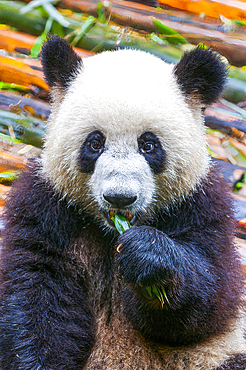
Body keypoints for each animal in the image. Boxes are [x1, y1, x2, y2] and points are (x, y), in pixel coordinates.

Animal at [0, 35, 246, 370]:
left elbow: (212, 298)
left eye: (148, 145)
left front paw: (148, 255)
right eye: (94, 143)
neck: (109, 234)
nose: (120, 197)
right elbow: (36, 295)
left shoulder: (201, 204)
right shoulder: (46, 207)